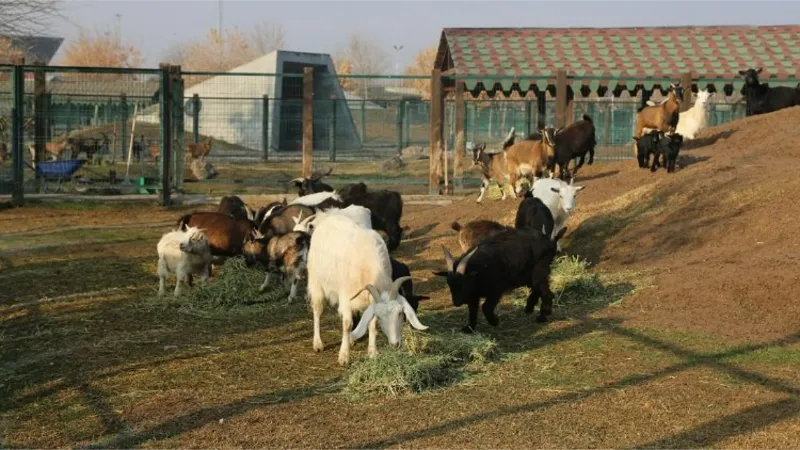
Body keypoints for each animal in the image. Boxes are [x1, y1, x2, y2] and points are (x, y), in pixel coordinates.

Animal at [308, 214, 432, 366]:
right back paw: (318, 343)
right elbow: (347, 325)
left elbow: (372, 326)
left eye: (400, 313)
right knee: (317, 311)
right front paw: (344, 356)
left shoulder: (370, 300)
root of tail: (327, 217)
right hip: (316, 281)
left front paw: (372, 352)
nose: (395, 344)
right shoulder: (345, 297)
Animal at [434, 227, 564, 332]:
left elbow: (485, 307)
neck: (479, 269)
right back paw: (529, 308)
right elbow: (472, 310)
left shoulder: (495, 291)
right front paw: (469, 328)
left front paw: (494, 321)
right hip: (531, 275)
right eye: (449, 284)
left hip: (539, 270)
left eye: (463, 283)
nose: (456, 303)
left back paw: (543, 316)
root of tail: (550, 241)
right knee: (537, 289)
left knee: (547, 293)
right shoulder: (473, 295)